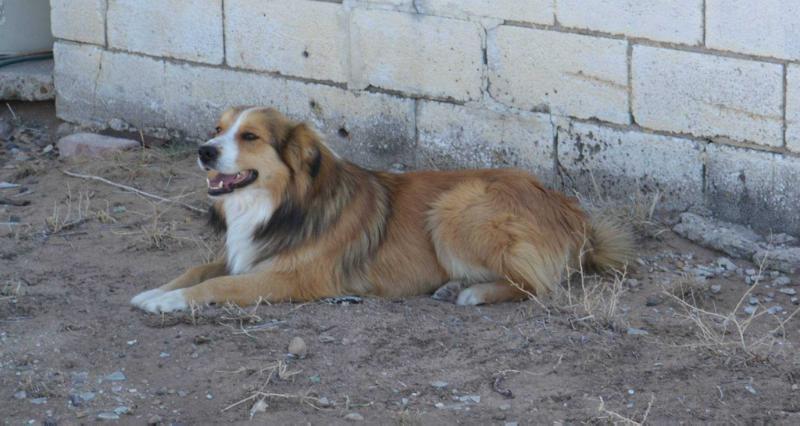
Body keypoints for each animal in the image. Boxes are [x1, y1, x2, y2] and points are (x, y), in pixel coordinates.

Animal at [131, 106, 636, 312]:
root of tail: (572, 211)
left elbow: (216, 284)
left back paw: (472, 293)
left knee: (533, 285)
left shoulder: (291, 277)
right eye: (217, 129)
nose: (203, 150)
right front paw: (156, 290)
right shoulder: (246, 254)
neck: (282, 204)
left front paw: (169, 302)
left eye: (250, 136)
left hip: (455, 206)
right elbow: (198, 269)